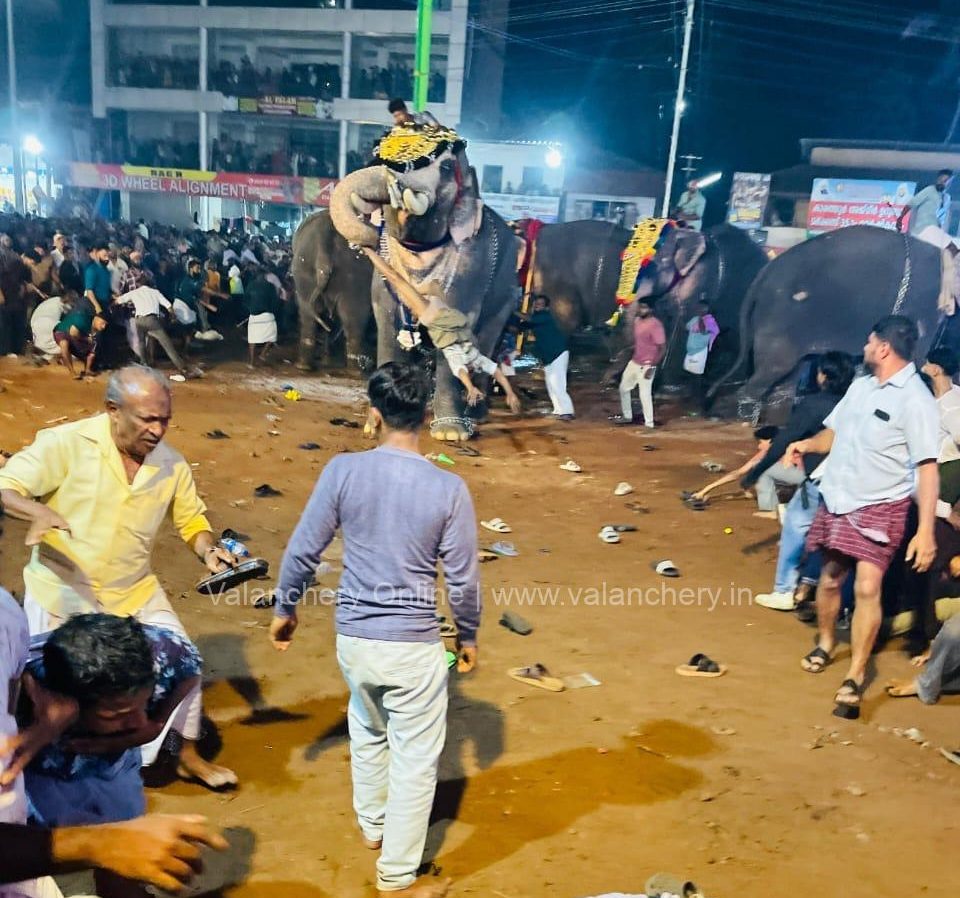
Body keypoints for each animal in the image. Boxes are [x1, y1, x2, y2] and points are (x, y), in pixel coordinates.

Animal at [290, 208, 374, 370]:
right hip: (353, 273)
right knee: (353, 318)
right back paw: (355, 370)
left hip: (303, 269)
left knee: (309, 313)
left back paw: (304, 365)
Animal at [330, 121, 524, 438]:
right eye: (378, 158)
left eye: (445, 167)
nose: (365, 241)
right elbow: (386, 323)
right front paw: (373, 425)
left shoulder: (471, 264)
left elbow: (459, 326)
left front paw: (450, 433)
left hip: (509, 291)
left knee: (488, 339)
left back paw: (476, 414)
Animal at [708, 224, 948, 420]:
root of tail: (764, 273)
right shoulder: (924, 306)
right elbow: (914, 359)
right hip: (779, 319)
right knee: (772, 370)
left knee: (785, 381)